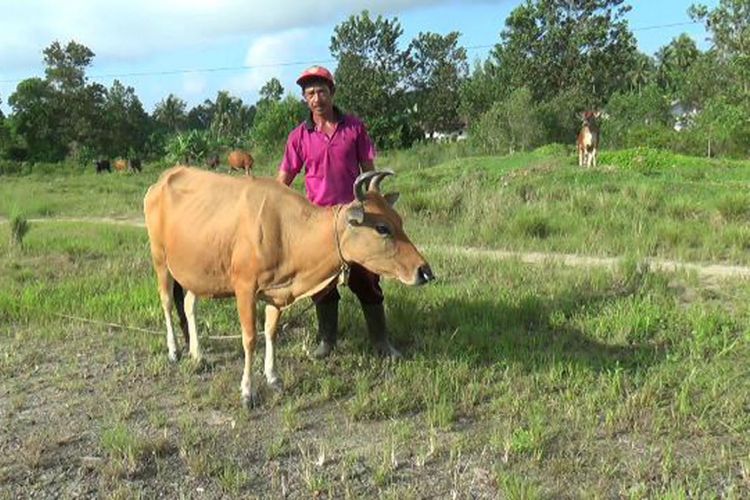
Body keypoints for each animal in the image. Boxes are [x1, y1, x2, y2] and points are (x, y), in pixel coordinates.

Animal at [144, 166, 434, 408]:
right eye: (382, 228)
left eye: (399, 221)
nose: (425, 271)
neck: (284, 231)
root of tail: (162, 179)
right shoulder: (245, 288)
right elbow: (250, 338)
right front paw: (247, 391)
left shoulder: (277, 292)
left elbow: (271, 332)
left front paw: (273, 376)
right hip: (160, 261)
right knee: (167, 303)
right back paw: (174, 351)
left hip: (198, 273)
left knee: (189, 305)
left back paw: (197, 354)